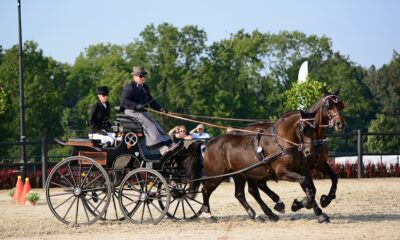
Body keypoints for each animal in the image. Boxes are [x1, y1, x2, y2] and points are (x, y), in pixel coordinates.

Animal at [186, 110, 320, 223]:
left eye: (314, 127)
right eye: (303, 127)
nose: (309, 151)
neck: (280, 142)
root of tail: (208, 143)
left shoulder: (300, 169)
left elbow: (310, 187)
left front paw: (302, 204)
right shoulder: (282, 172)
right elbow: (304, 181)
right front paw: (301, 203)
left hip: (239, 175)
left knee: (240, 194)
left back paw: (257, 215)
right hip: (217, 175)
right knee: (206, 190)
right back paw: (209, 215)